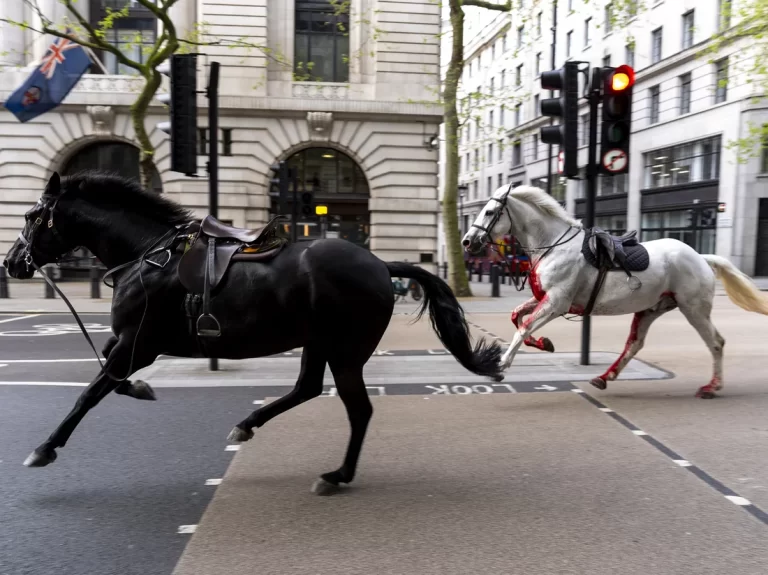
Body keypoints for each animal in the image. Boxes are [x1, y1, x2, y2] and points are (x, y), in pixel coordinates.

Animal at [4, 171, 504, 490]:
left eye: (31, 217)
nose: (11, 263)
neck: (147, 255)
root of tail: (382, 265)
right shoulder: (130, 342)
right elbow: (109, 375)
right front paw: (142, 389)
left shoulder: (138, 343)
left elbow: (91, 391)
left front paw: (45, 448)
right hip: (318, 343)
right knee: (306, 388)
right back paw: (248, 425)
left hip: (345, 351)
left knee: (358, 409)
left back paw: (337, 475)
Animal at [462, 187, 768, 398]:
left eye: (489, 212)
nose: (467, 241)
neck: (553, 245)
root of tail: (701, 257)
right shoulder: (545, 298)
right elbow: (517, 317)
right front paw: (544, 343)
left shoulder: (557, 302)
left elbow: (523, 327)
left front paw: (500, 367)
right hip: (651, 309)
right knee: (634, 344)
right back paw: (605, 377)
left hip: (693, 308)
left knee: (716, 343)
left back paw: (712, 387)